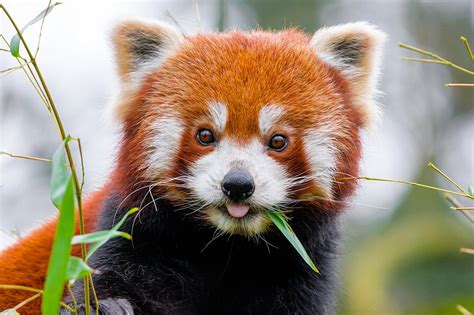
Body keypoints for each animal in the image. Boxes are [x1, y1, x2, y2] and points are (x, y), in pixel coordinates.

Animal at [0, 21, 386, 314]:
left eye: (278, 140)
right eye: (205, 135)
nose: (237, 184)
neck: (226, 249)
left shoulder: (298, 269)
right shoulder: (128, 235)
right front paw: (108, 307)